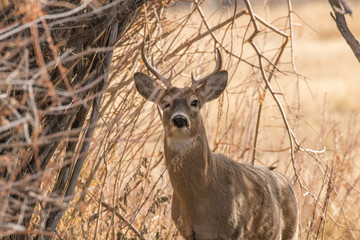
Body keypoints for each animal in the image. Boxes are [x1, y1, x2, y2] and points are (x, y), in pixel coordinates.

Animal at [133, 46, 298, 239]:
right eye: (166, 103)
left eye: (195, 102)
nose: (180, 119)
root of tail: (287, 182)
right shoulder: (187, 232)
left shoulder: (236, 230)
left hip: (289, 232)